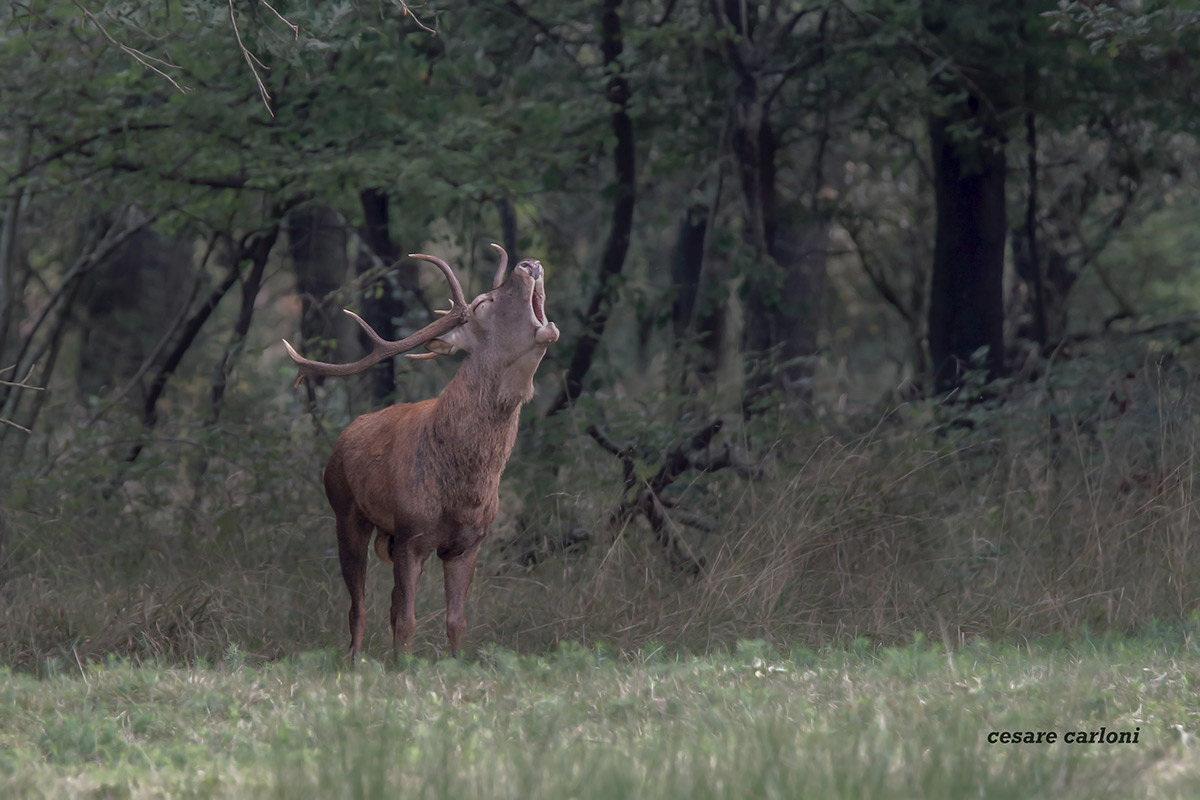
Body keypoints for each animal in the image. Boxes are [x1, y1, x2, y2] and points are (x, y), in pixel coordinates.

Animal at [283, 244, 559, 661]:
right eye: (486, 302)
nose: (529, 264)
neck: (464, 491)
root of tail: (346, 432)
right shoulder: (411, 535)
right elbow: (407, 621)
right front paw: (403, 667)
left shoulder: (468, 544)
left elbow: (455, 621)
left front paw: (455, 664)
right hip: (345, 511)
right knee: (358, 605)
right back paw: (354, 661)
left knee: (389, 604)